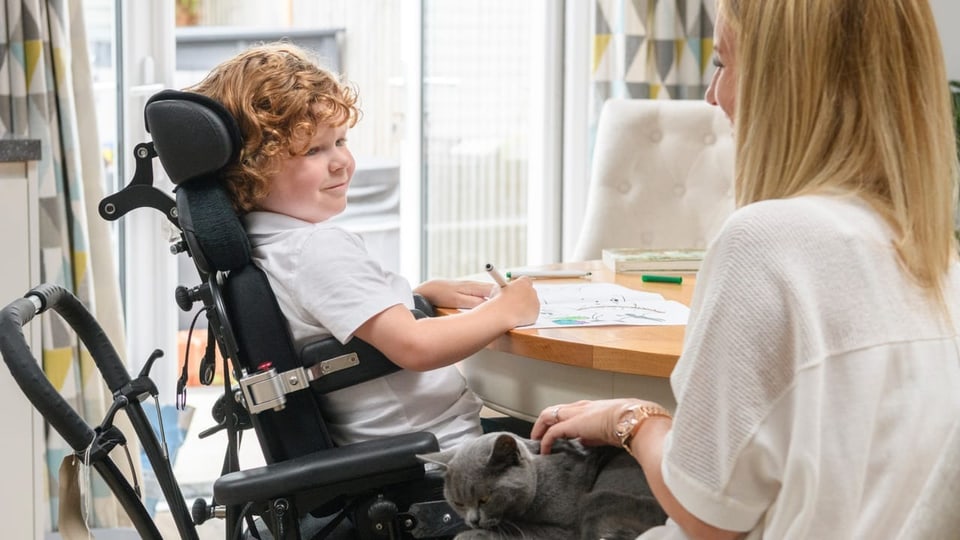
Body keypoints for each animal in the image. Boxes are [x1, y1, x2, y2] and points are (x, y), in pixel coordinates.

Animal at [420, 430, 668, 540]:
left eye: (484, 499)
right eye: (459, 503)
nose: (473, 521)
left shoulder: (565, 529)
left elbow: (521, 532)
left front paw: (470, 535)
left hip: (600, 499)